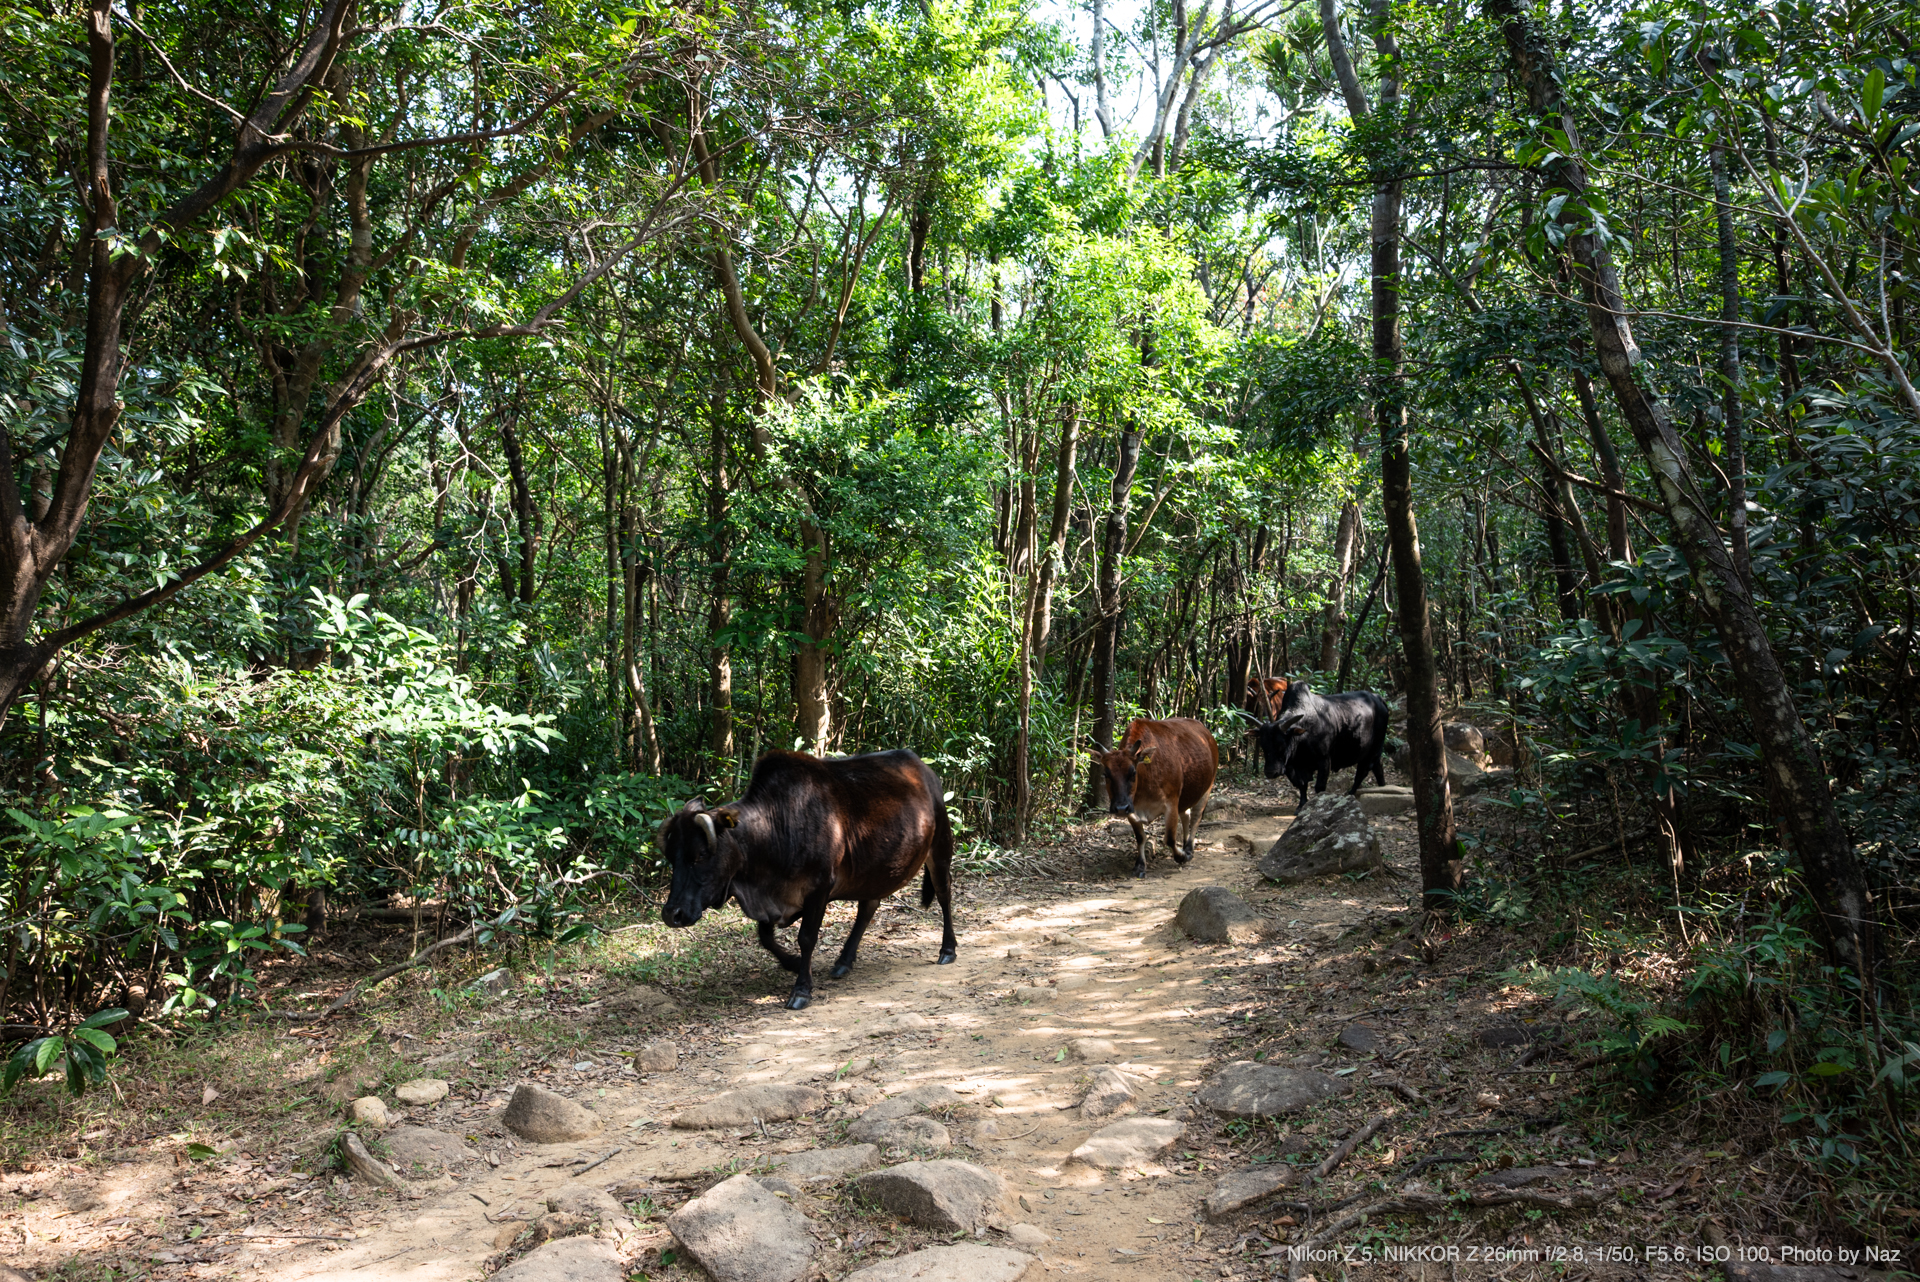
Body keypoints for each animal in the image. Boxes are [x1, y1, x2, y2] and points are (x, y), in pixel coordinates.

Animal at [664, 752, 956, 1013]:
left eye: (700, 855)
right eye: (670, 857)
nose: (671, 914)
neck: (776, 829)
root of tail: (925, 769)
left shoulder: (819, 889)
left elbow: (806, 937)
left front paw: (802, 989)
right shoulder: (772, 898)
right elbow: (765, 937)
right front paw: (793, 962)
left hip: (940, 848)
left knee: (944, 895)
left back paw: (948, 949)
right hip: (875, 871)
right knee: (867, 908)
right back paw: (844, 962)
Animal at [1090, 710, 1221, 882]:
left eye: (1133, 772)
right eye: (1106, 774)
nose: (1120, 808)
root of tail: (1207, 734)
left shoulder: (1171, 803)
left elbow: (1170, 839)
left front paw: (1181, 856)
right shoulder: (1132, 809)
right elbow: (1140, 838)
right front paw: (1140, 865)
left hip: (1207, 787)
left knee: (1196, 817)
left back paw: (1188, 849)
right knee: (1186, 816)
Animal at [1251, 675, 1390, 806]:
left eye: (1281, 744)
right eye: (1263, 745)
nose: (1270, 772)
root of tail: (1378, 698)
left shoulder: (1324, 760)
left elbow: (1319, 787)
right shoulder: (1294, 765)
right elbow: (1302, 784)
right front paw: (1301, 805)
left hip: (1373, 750)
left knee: (1362, 772)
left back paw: (1352, 793)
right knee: (1377, 767)